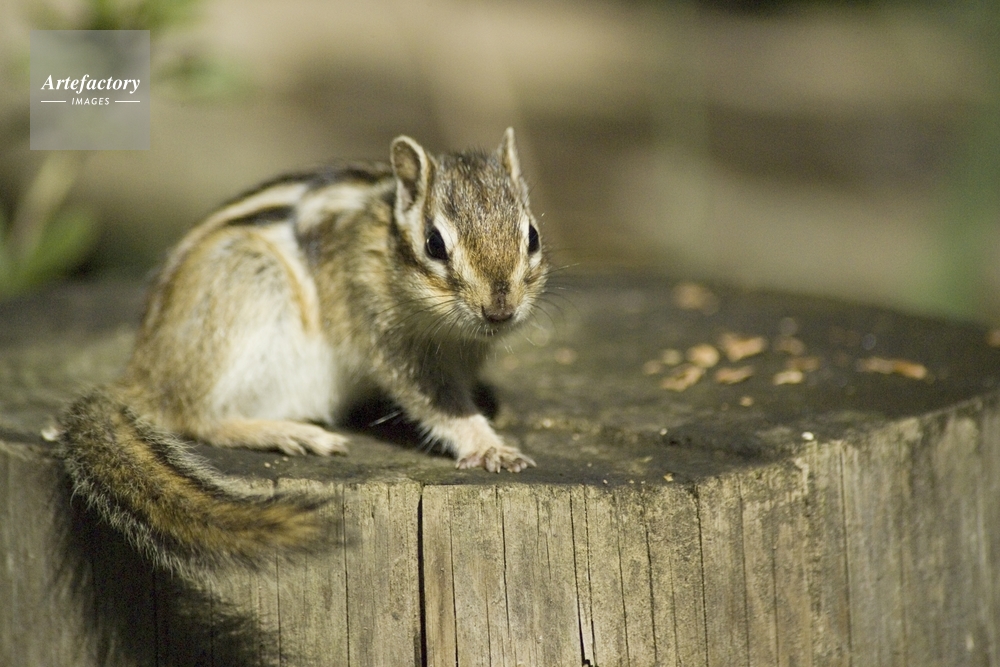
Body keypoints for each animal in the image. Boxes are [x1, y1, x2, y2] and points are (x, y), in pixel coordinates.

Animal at [57, 128, 548, 573]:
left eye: (533, 236)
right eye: (434, 243)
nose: (500, 310)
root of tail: (142, 375)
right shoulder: (383, 333)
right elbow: (437, 404)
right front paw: (489, 445)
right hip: (247, 285)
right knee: (197, 417)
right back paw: (289, 433)